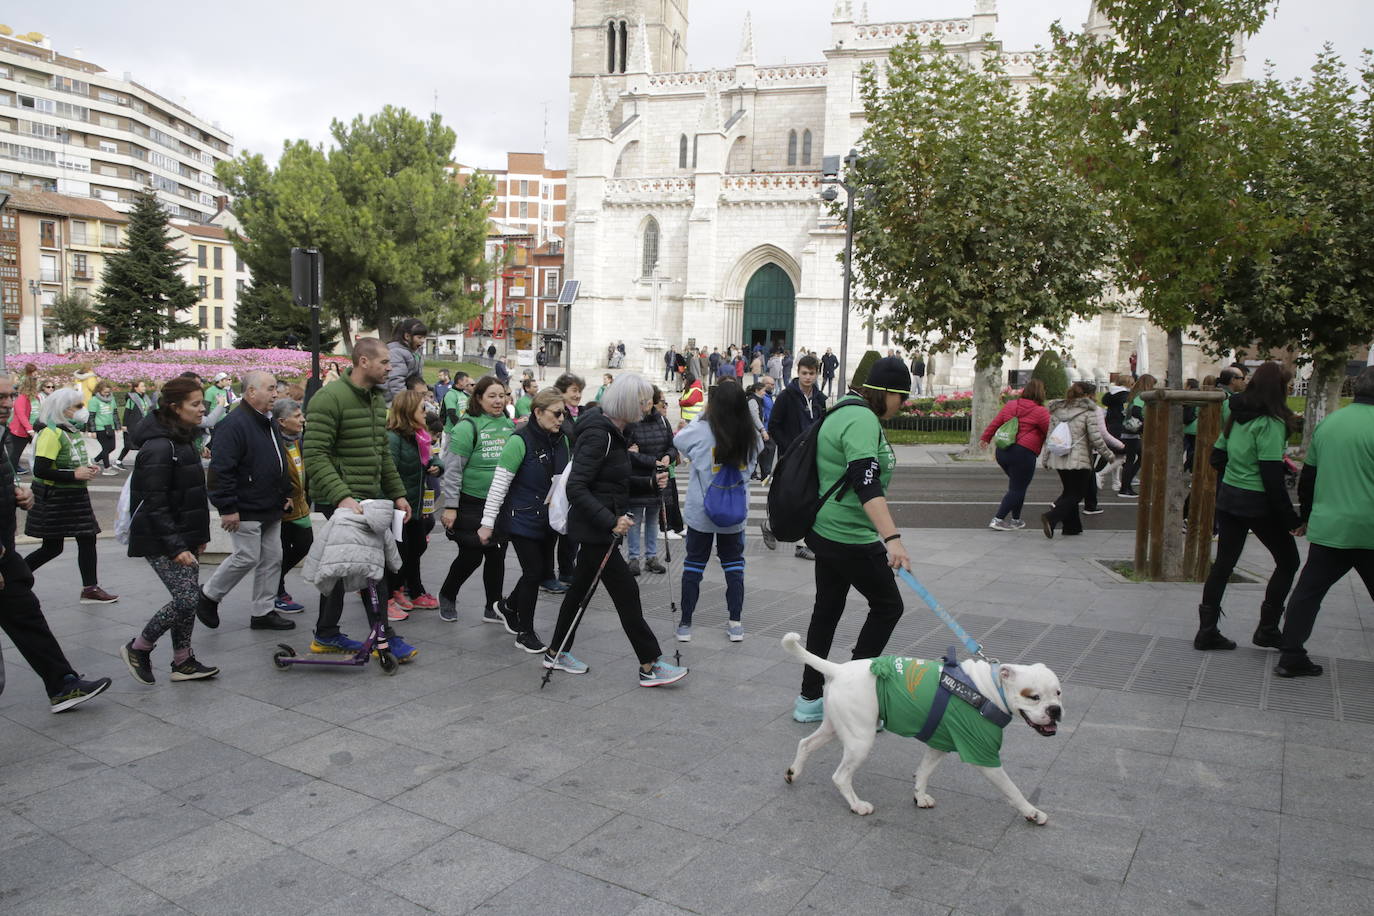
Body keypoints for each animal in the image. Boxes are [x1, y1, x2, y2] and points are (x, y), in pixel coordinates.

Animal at [785, 634, 1060, 829]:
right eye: (1033, 696)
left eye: (1058, 693)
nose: (1056, 710)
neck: (989, 690)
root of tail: (839, 669)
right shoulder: (983, 755)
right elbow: (1013, 790)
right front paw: (1032, 812)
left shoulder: (940, 743)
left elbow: (924, 771)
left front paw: (919, 797)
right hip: (860, 740)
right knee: (841, 776)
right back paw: (857, 805)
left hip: (837, 726)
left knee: (805, 743)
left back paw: (793, 773)